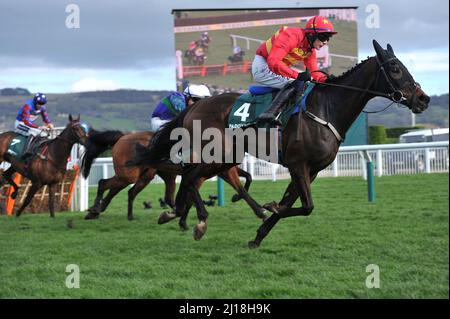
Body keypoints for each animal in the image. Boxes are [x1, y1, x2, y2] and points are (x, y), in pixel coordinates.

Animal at [80, 129, 266, 226]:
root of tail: (122, 137)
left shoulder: (221, 171)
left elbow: (247, 178)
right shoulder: (212, 173)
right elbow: (242, 188)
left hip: (151, 175)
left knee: (131, 191)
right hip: (130, 174)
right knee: (104, 183)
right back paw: (95, 209)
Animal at [132, 41, 430, 249]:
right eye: (395, 68)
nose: (423, 99)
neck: (326, 108)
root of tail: (195, 105)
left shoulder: (312, 169)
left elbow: (292, 202)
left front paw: (259, 234)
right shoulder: (298, 164)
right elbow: (306, 206)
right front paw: (270, 208)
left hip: (226, 157)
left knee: (191, 177)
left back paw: (176, 214)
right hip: (217, 153)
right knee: (191, 177)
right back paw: (198, 220)